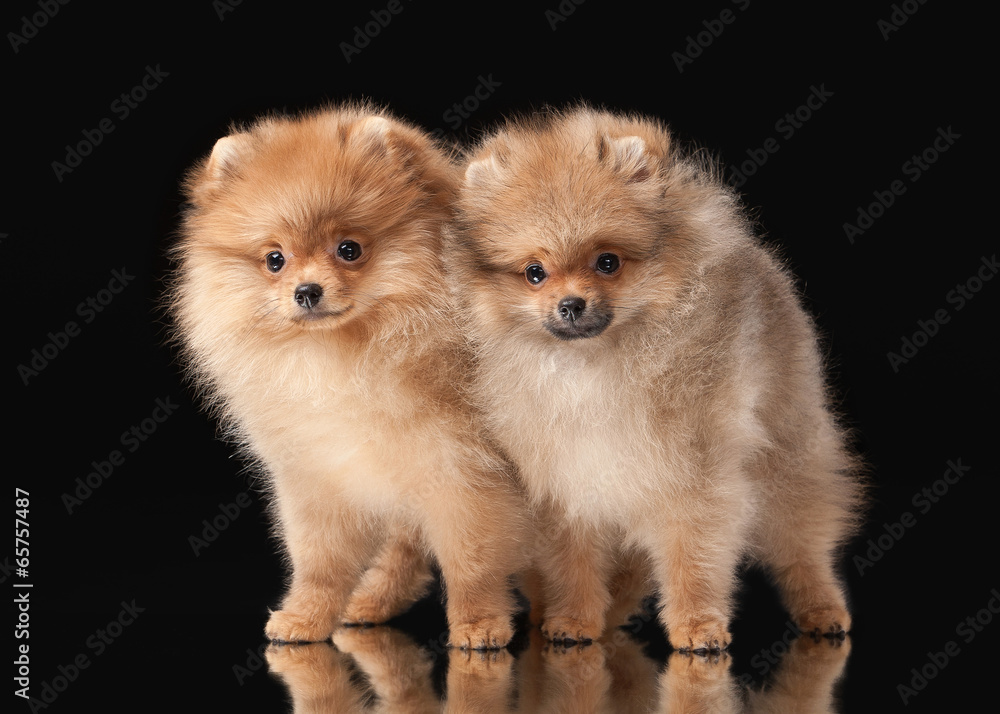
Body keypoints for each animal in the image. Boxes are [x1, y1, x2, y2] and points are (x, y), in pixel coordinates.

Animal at [165, 104, 528, 644]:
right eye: (275, 259)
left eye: (349, 249)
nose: (307, 291)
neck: (344, 358)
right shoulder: (320, 477)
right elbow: (321, 563)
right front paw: (306, 616)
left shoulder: (462, 474)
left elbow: (472, 561)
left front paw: (479, 622)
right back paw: (372, 601)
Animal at [450, 104, 864, 652]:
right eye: (535, 273)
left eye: (607, 262)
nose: (570, 304)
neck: (594, 365)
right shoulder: (565, 476)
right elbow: (572, 560)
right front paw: (574, 618)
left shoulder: (691, 470)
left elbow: (694, 554)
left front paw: (697, 624)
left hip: (786, 449)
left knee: (803, 539)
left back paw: (822, 608)